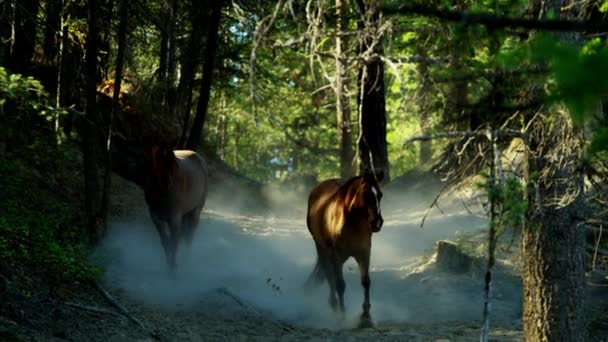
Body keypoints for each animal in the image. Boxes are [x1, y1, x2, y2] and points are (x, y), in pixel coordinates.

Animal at [304, 172, 384, 324]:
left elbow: (366, 282)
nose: (377, 222)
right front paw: (342, 315)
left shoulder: (364, 253)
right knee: (329, 276)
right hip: (322, 249)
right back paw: (334, 304)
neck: (352, 224)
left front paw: (366, 315)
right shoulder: (336, 257)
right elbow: (340, 284)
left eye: (380, 195)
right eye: (365, 193)